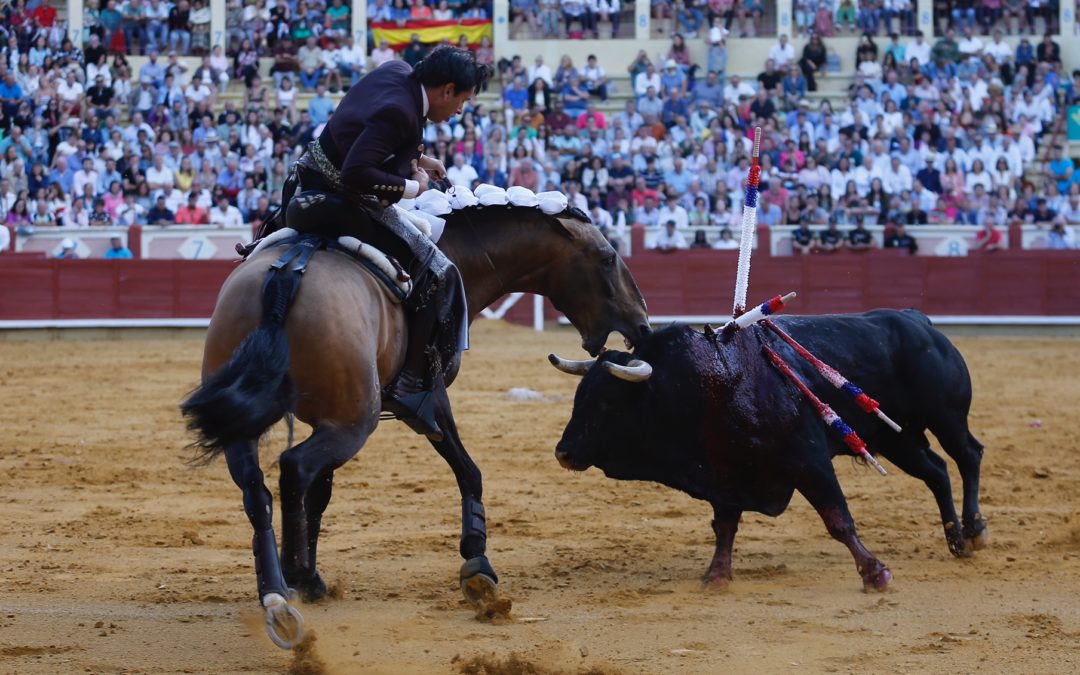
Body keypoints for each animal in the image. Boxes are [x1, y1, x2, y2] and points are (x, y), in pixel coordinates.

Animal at [180, 199, 648, 648]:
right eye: (608, 257)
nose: (641, 323)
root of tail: (285, 279)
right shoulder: (428, 398)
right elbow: (468, 470)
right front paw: (477, 567)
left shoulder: (328, 419)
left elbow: (321, 494)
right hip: (356, 423)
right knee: (294, 469)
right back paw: (294, 579)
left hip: (259, 427)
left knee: (258, 490)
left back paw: (276, 594)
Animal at [548, 311, 989, 587]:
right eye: (579, 397)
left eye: (608, 402)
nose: (563, 453)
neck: (707, 383)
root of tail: (919, 321)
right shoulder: (724, 470)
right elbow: (724, 525)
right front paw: (716, 576)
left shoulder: (809, 460)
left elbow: (838, 520)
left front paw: (875, 574)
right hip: (895, 438)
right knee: (936, 471)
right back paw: (956, 540)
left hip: (946, 418)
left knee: (968, 456)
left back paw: (975, 529)